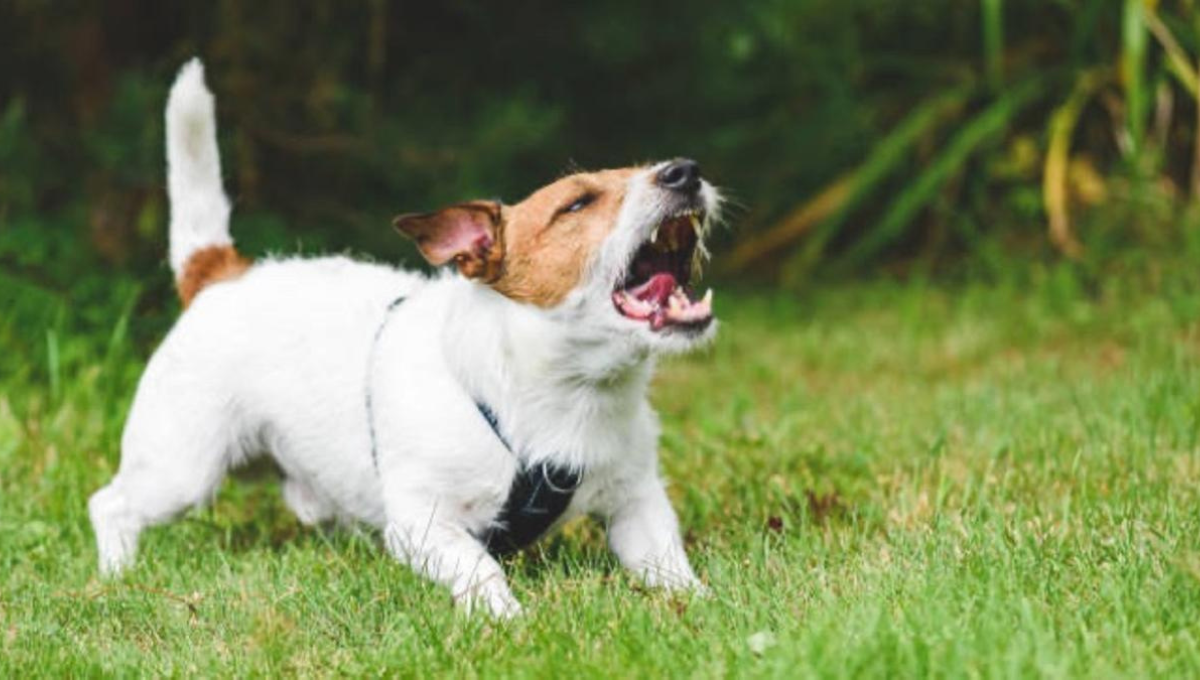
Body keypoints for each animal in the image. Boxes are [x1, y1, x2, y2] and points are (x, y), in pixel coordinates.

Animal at [88, 58, 720, 618]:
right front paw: (506, 616)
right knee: (110, 504)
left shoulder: (637, 503)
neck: (565, 394)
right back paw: (118, 574)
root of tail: (221, 273)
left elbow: (668, 564)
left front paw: (704, 606)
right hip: (181, 469)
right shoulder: (424, 522)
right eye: (577, 203)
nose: (686, 170)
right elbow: (479, 565)